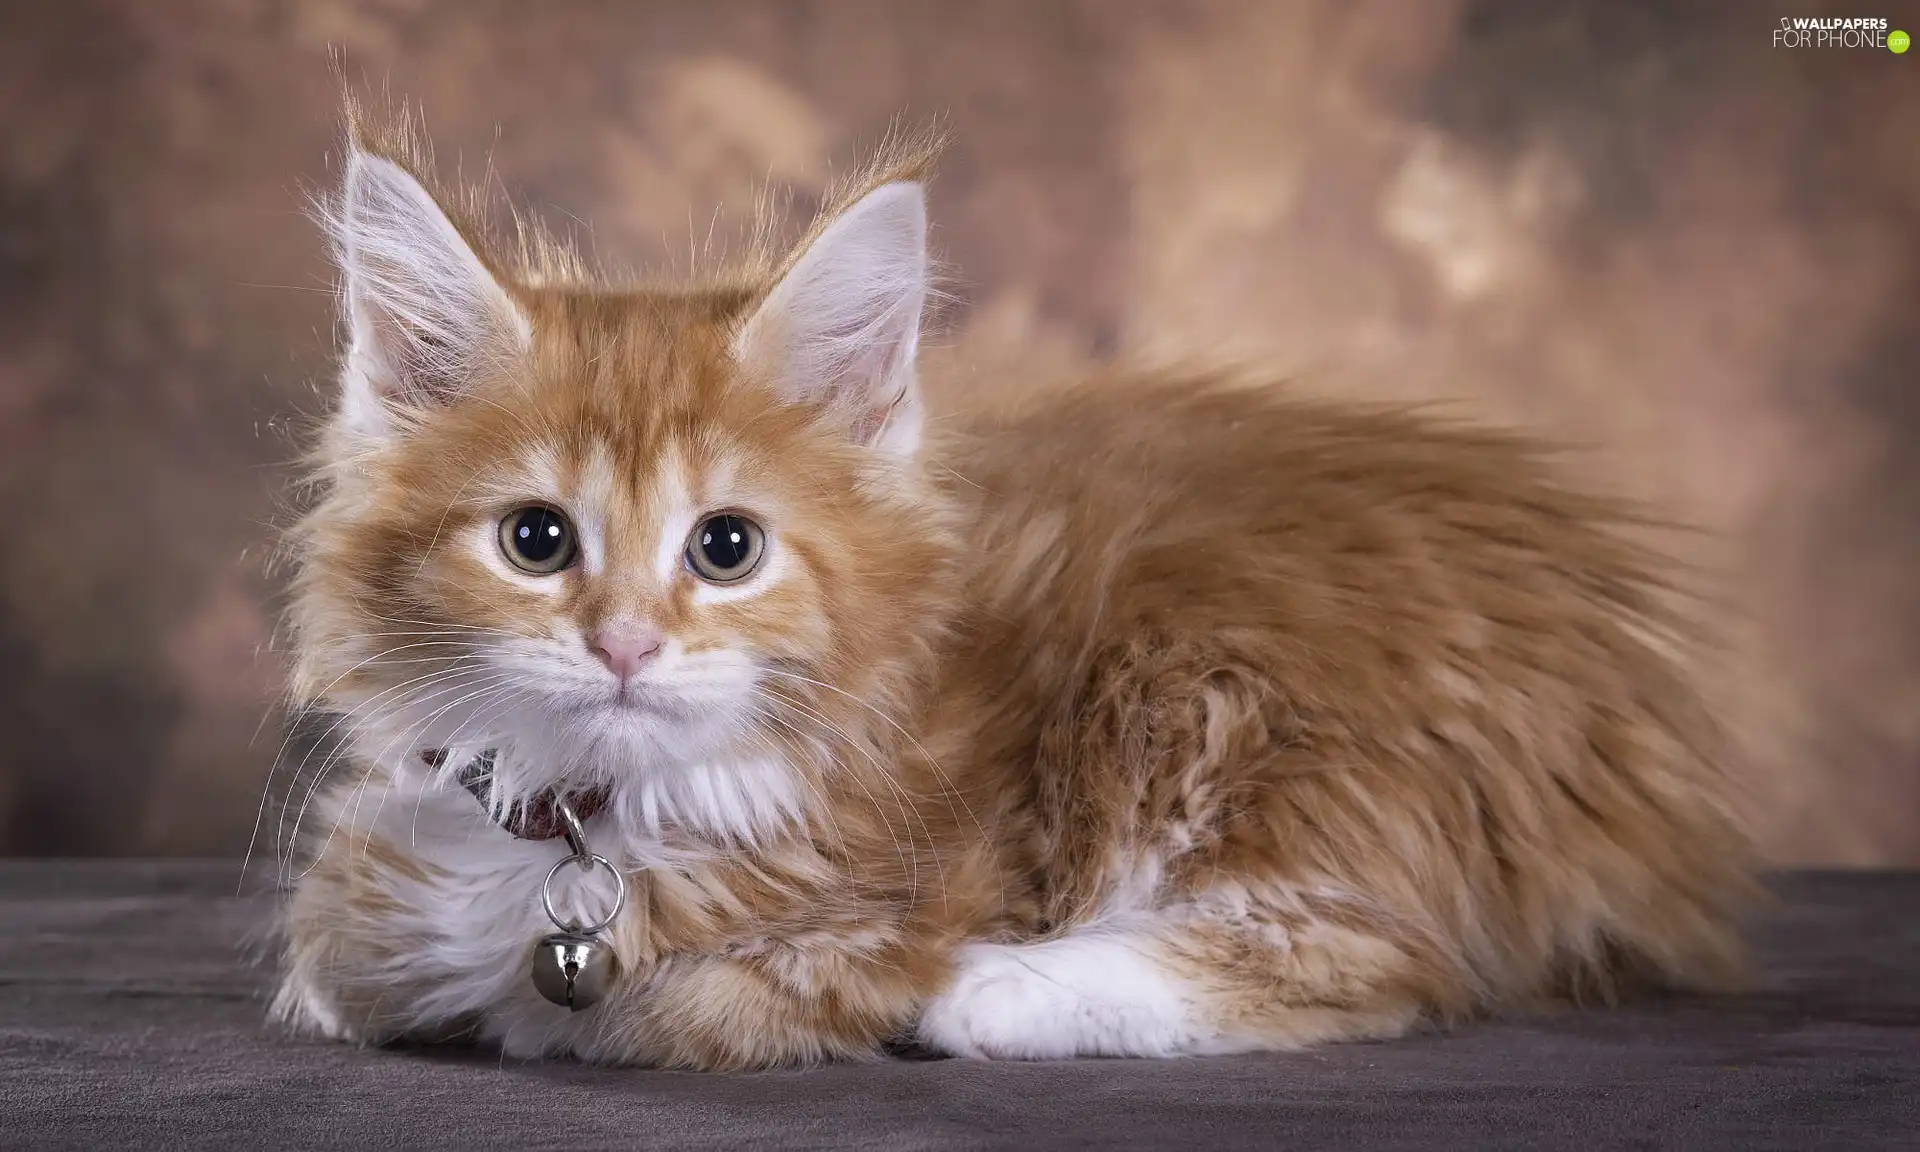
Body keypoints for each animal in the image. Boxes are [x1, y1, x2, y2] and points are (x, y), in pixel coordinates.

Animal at [270, 108, 1758, 1067]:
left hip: (1229, 673)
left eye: (726, 547)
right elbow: (337, 957)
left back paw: (999, 991)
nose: (627, 644)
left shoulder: (871, 908)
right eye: (536, 540)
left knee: (1381, 961)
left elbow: (663, 1013)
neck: (602, 817)